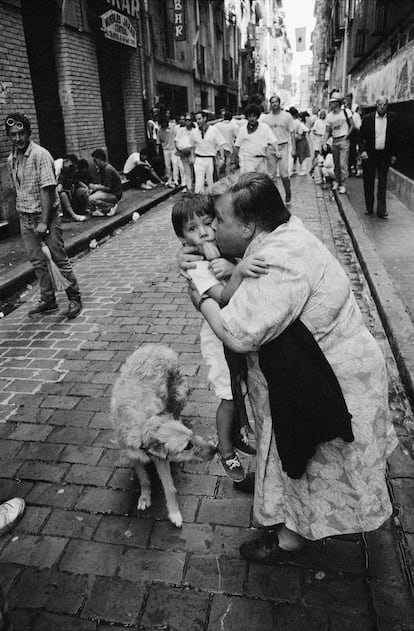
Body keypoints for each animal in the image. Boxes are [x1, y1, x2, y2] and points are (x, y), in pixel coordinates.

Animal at [111, 344, 215, 524]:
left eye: (192, 434)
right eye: (188, 446)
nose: (215, 450)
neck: (142, 424)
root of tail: (157, 346)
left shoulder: (161, 459)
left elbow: (169, 487)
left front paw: (174, 513)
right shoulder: (133, 454)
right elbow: (143, 479)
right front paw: (145, 498)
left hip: (179, 394)